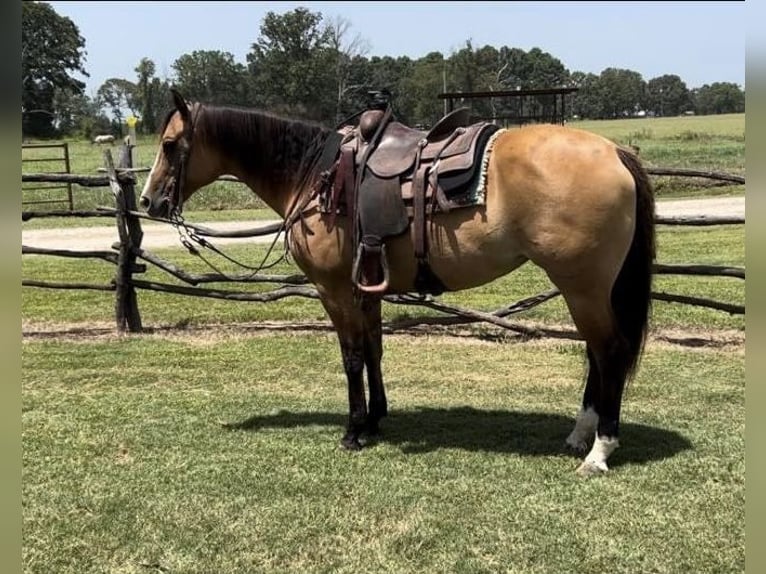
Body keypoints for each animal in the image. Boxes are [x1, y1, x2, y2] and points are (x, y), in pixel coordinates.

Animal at [138, 90, 656, 476]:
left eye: (170, 144)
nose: (148, 201)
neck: (315, 174)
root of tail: (615, 152)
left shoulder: (334, 290)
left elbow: (351, 357)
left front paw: (353, 431)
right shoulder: (366, 288)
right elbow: (373, 349)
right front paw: (375, 420)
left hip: (582, 285)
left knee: (608, 351)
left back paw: (599, 450)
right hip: (585, 288)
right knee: (596, 353)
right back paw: (579, 435)